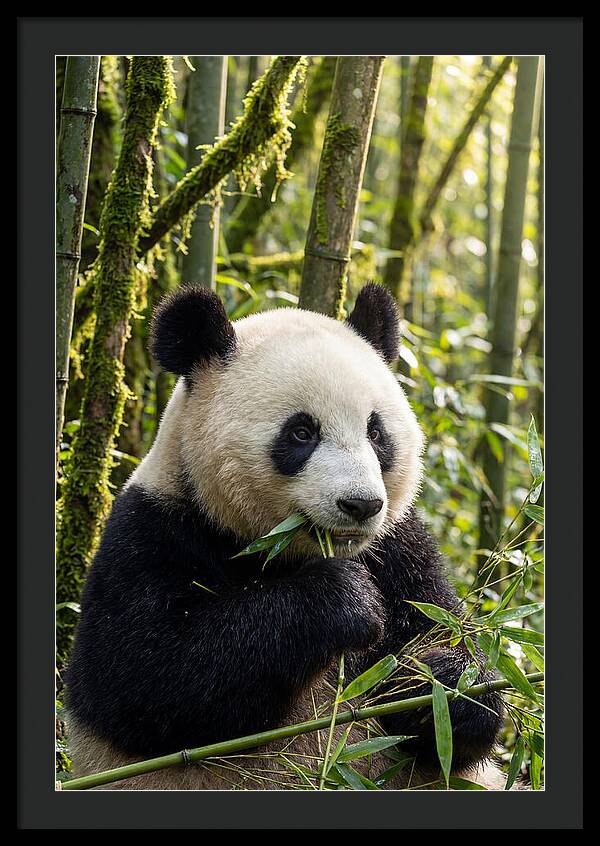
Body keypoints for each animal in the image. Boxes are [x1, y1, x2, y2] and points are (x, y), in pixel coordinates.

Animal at [65, 282, 506, 790]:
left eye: (376, 433)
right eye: (301, 432)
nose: (360, 505)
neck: (282, 549)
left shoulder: (400, 549)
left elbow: (448, 649)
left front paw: (440, 683)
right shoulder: (152, 532)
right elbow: (147, 678)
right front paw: (345, 600)